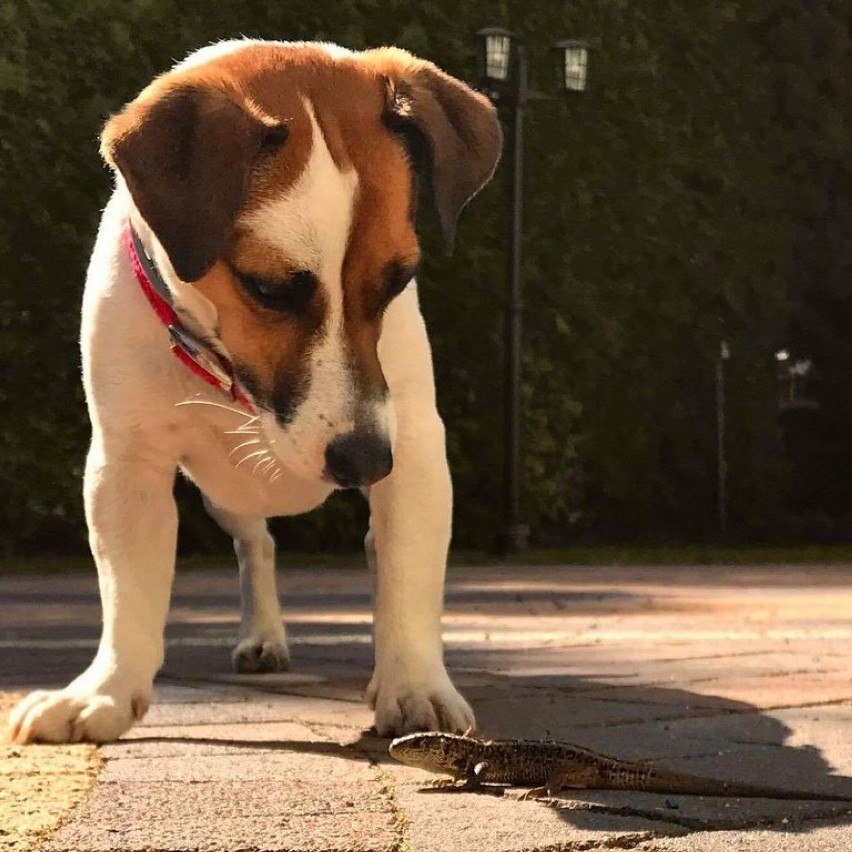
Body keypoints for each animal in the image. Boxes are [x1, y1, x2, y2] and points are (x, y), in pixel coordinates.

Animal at [8, 40, 500, 744]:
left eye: (398, 279)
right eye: (267, 288)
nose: (364, 461)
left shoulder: (414, 451)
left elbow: (407, 576)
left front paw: (414, 685)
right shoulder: (126, 464)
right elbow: (128, 592)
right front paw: (104, 692)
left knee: (377, 553)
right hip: (223, 495)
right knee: (257, 544)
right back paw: (263, 633)